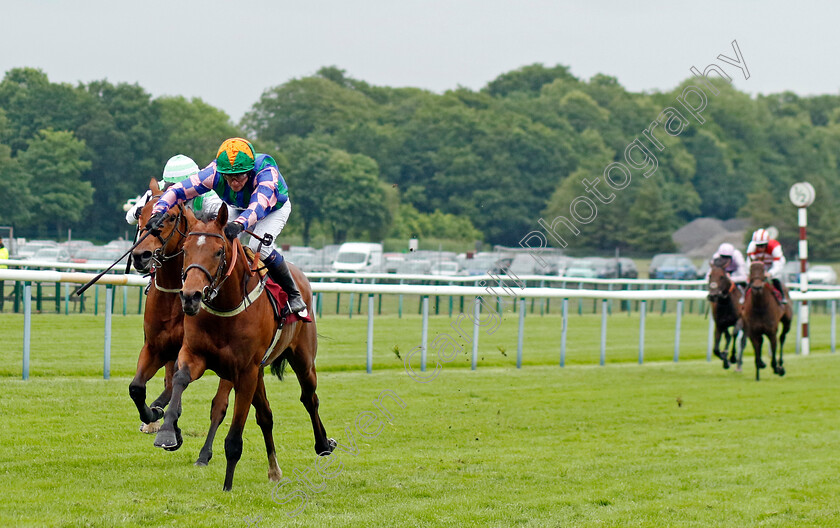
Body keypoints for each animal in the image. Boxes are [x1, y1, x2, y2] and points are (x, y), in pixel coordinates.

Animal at [153, 203, 334, 490]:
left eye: (218, 251)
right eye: (186, 250)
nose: (190, 297)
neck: (226, 306)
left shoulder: (245, 372)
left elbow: (234, 437)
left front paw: (227, 486)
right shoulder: (195, 354)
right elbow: (180, 379)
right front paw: (166, 432)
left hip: (303, 360)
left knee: (309, 398)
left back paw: (323, 444)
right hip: (260, 371)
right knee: (266, 415)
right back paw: (274, 470)